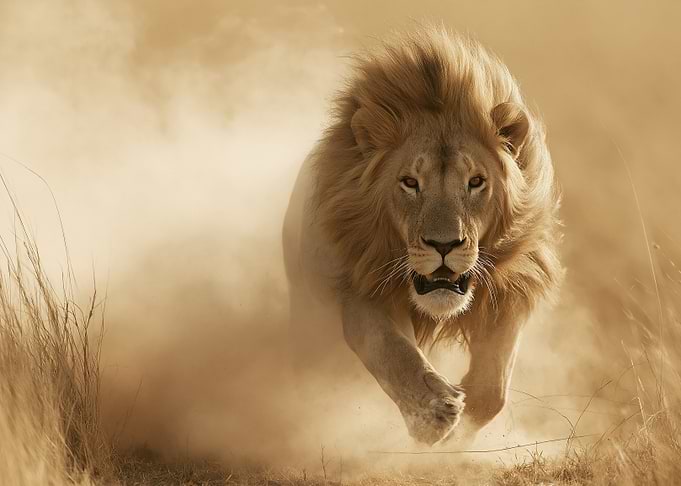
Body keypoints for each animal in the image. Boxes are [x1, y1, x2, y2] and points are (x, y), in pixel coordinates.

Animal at [282, 28, 562, 446]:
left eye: (475, 181)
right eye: (410, 182)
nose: (444, 245)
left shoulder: (510, 289)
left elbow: (493, 388)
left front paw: (458, 435)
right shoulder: (359, 287)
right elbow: (391, 351)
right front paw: (434, 414)